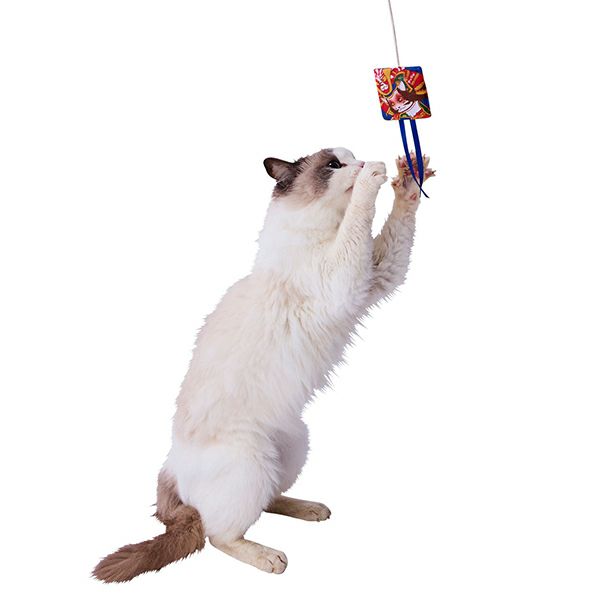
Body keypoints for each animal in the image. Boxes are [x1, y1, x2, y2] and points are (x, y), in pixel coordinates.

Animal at [93, 148, 434, 582]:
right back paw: (271, 557)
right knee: (218, 534)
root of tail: (170, 467)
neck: (323, 228)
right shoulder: (345, 276)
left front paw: (409, 178)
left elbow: (396, 228)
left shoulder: (376, 275)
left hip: (291, 446)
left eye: (350, 158)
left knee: (267, 500)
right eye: (334, 165)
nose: (361, 165)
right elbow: (362, 214)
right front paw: (373, 179)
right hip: (251, 462)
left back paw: (310, 509)